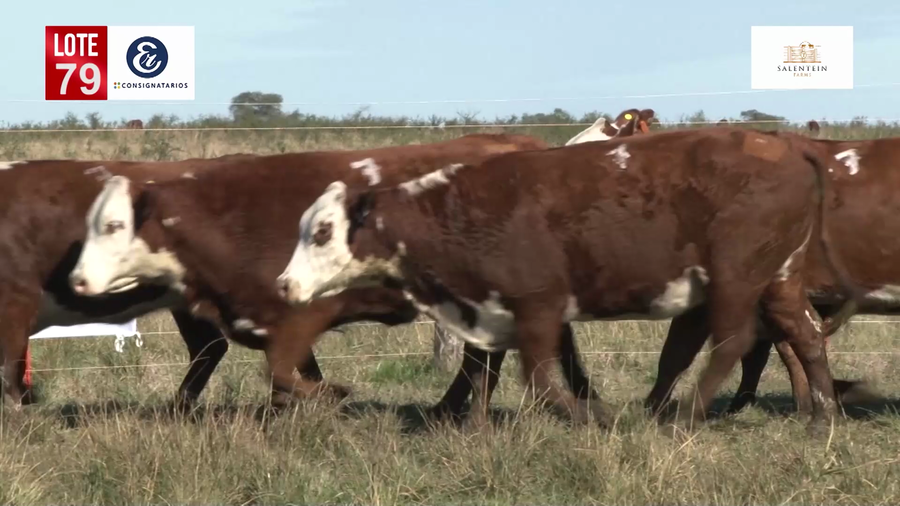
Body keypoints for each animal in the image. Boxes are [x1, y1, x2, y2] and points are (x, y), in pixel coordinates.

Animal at [64, 133, 558, 410]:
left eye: (113, 225)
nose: (76, 278)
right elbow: (291, 374)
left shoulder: (301, 314)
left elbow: (285, 373)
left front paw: (329, 400)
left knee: (483, 356)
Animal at [276, 127, 867, 435]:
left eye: (323, 231)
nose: (284, 285)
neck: (460, 210)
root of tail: (783, 144)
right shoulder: (493, 311)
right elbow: (487, 373)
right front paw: (476, 429)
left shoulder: (538, 307)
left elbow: (541, 381)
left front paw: (592, 415)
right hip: (779, 277)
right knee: (804, 333)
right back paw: (823, 416)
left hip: (737, 277)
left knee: (734, 341)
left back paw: (686, 415)